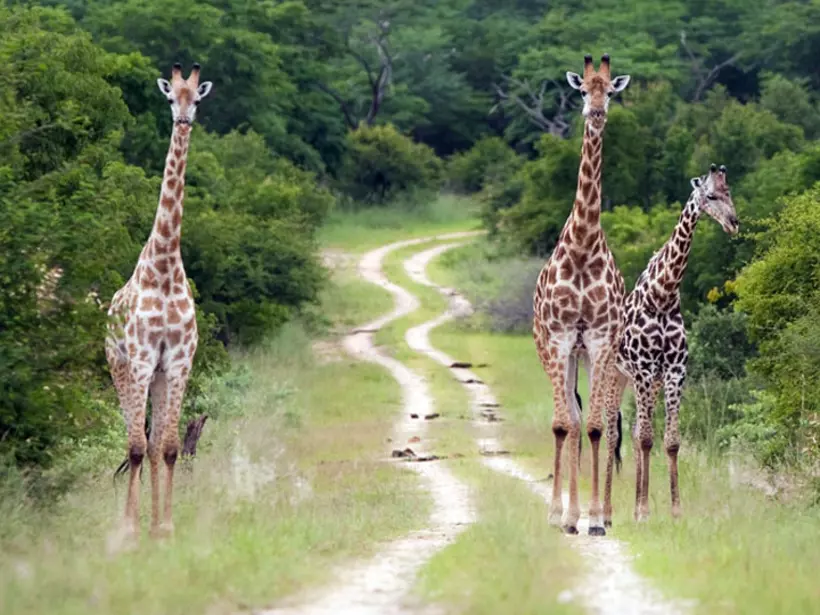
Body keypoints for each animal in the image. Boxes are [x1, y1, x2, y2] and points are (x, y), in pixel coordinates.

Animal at [604, 164, 738, 524]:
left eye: (730, 193)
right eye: (710, 196)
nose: (734, 223)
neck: (662, 296)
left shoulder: (675, 372)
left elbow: (670, 441)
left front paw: (675, 511)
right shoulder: (644, 371)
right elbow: (647, 438)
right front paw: (644, 511)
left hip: (638, 381)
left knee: (633, 432)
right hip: (613, 376)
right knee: (612, 433)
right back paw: (605, 510)